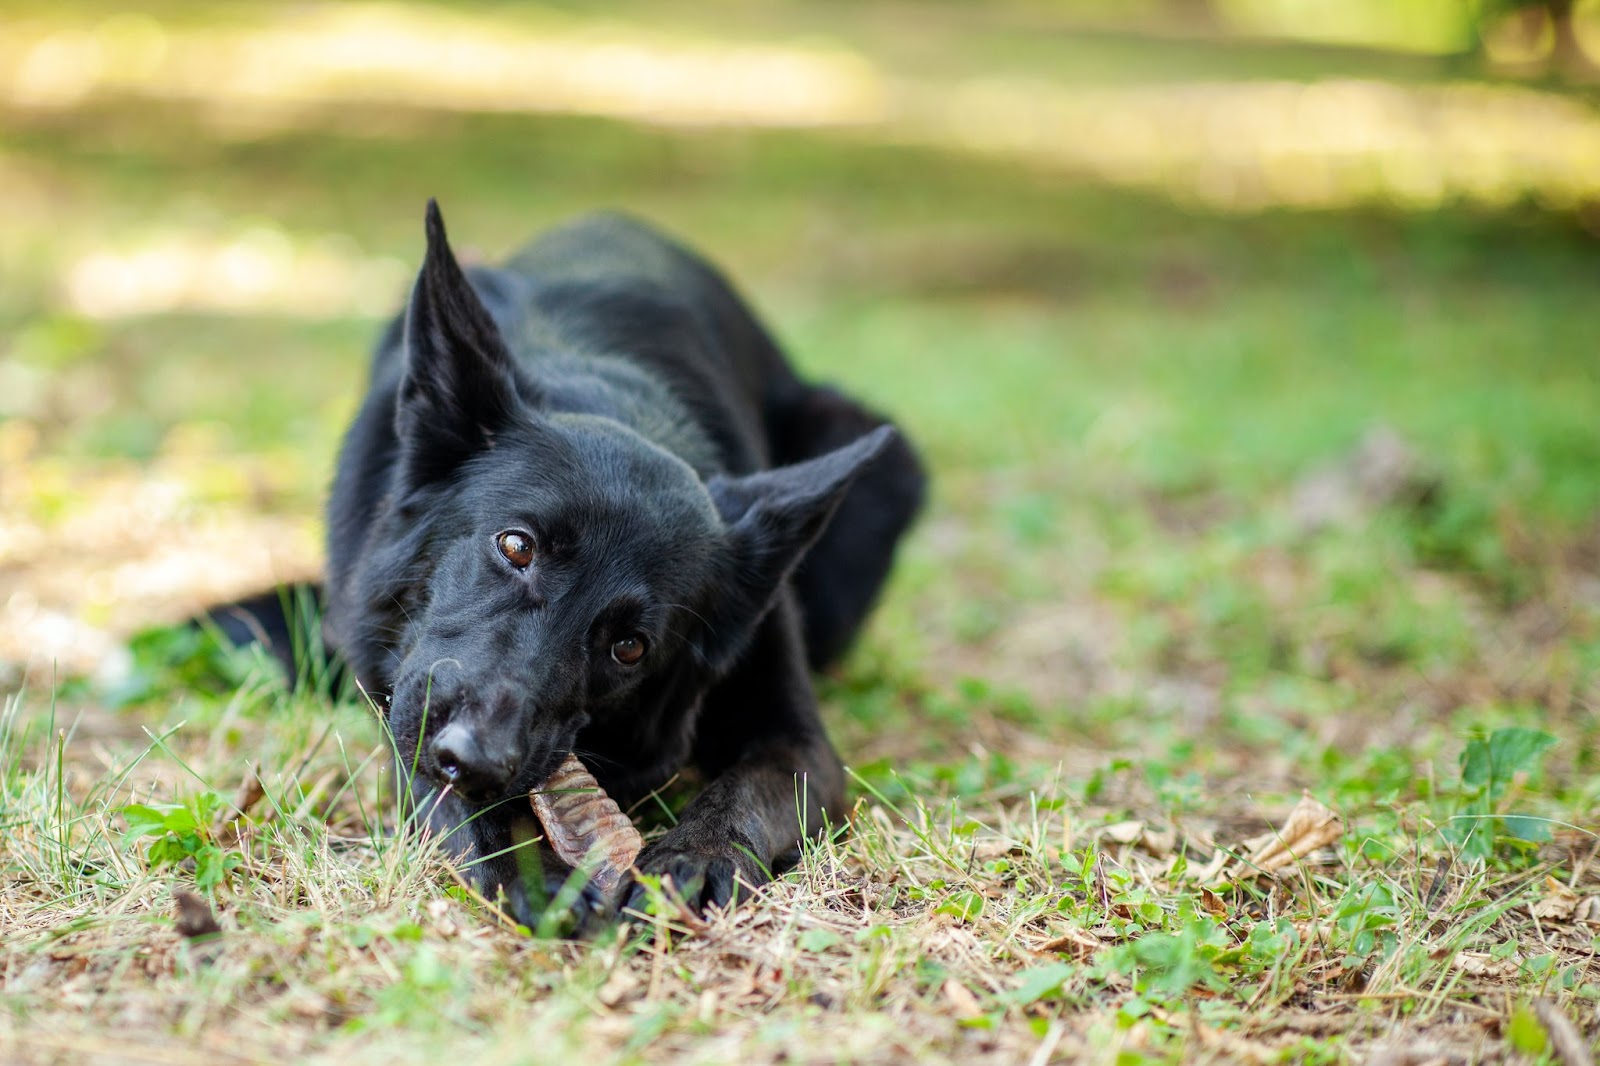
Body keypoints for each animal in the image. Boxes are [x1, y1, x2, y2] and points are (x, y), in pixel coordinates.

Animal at [280, 201, 928, 921]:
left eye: (630, 647)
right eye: (516, 546)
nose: (476, 759)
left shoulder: (799, 741)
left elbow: (749, 790)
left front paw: (696, 855)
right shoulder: (405, 707)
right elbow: (449, 800)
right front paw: (531, 872)